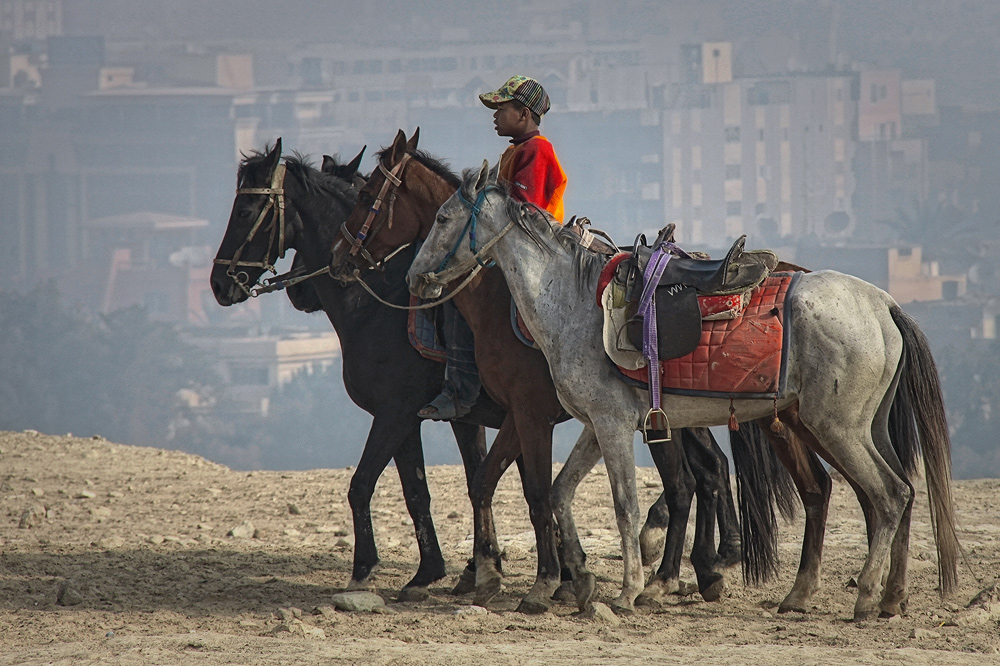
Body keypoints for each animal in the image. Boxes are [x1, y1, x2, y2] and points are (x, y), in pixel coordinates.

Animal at [213, 140, 508, 596]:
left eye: (244, 212)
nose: (218, 283)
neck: (380, 304)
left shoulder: (394, 413)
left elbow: (362, 484)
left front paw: (364, 566)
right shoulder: (427, 419)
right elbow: (424, 490)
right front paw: (437, 570)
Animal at [332, 130, 792, 612]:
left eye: (366, 194)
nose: (340, 258)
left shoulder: (502, 414)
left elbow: (528, 492)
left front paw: (547, 579)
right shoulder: (505, 417)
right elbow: (490, 483)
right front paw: (515, 572)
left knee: (688, 481)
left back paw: (672, 570)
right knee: (708, 472)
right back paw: (703, 567)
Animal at [408, 161, 960, 616]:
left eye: (442, 219)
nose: (415, 278)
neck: (571, 302)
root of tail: (884, 304)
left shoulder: (605, 424)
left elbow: (624, 503)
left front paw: (627, 589)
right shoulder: (595, 424)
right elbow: (562, 492)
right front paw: (580, 580)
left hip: (836, 427)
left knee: (888, 494)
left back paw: (865, 597)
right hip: (860, 426)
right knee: (896, 491)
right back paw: (881, 596)